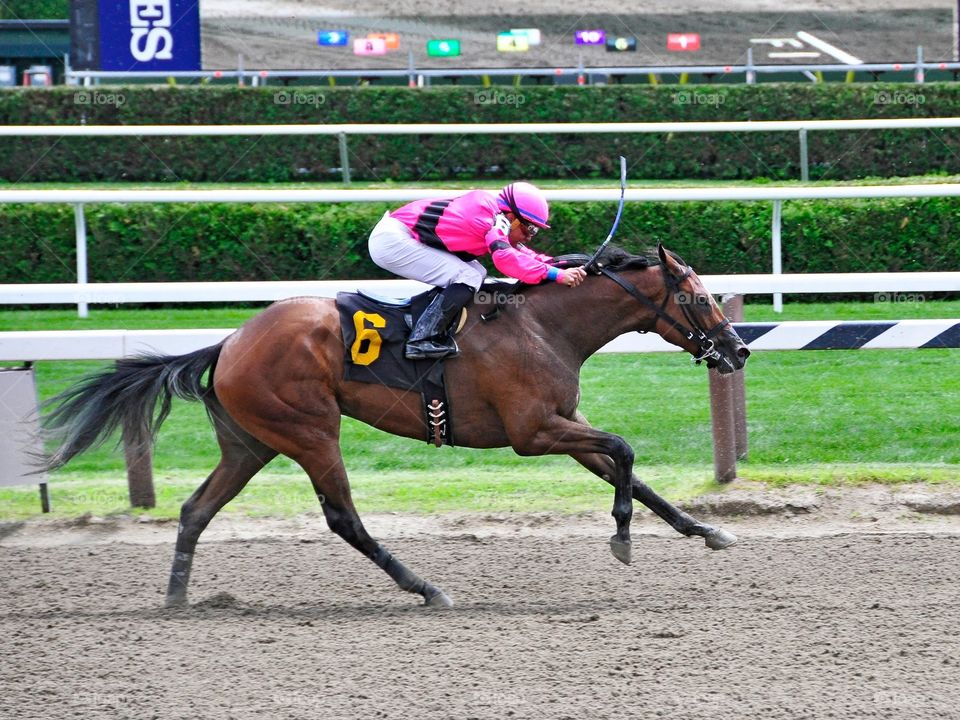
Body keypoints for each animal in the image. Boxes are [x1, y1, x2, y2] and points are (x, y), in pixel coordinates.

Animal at [43, 246, 752, 608]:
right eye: (697, 297)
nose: (738, 350)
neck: (543, 325)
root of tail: (229, 341)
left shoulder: (562, 421)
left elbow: (632, 473)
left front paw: (706, 531)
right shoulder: (534, 434)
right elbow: (626, 452)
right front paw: (622, 539)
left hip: (251, 443)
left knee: (196, 509)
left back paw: (176, 596)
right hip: (309, 431)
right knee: (342, 518)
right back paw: (425, 587)